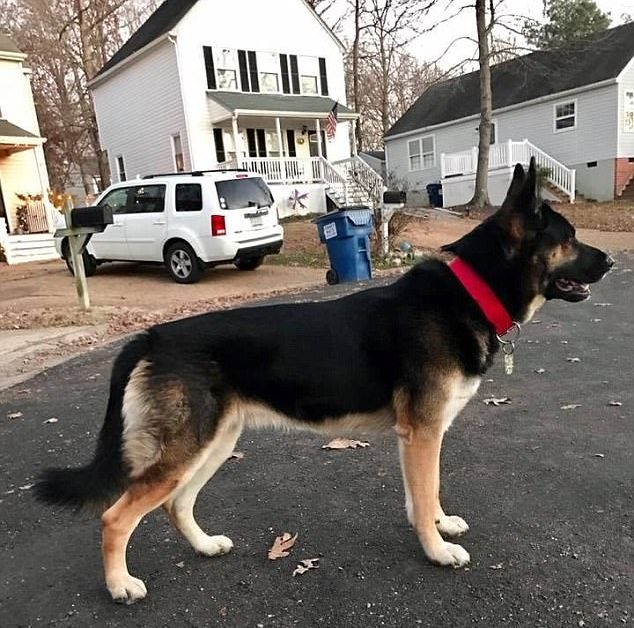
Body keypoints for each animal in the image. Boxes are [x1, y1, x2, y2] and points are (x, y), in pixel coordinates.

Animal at [35, 159, 612, 604]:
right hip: (187, 451)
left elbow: (423, 497)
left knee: (177, 504)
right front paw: (438, 551)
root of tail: (152, 336)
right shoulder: (423, 435)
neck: (471, 291)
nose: (609, 260)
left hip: (213, 445)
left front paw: (439, 527)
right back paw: (120, 586)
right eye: (570, 240)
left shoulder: (417, 439)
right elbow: (425, 495)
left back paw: (204, 547)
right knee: (115, 517)